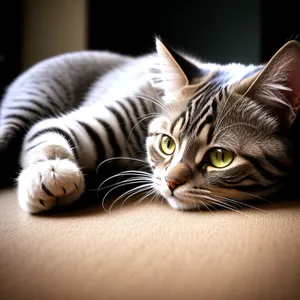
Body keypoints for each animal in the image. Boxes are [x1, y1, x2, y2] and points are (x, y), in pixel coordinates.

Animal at [0, 38, 300, 213]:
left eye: (220, 157)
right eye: (167, 144)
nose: (171, 182)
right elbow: (47, 134)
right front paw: (49, 173)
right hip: (29, 102)